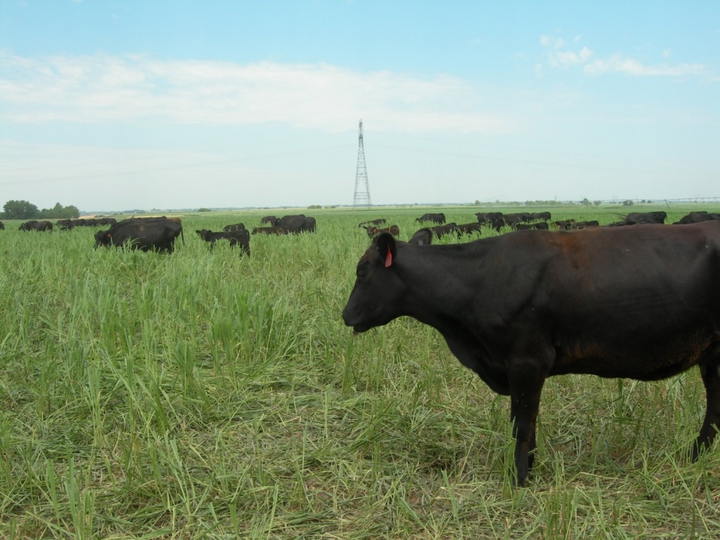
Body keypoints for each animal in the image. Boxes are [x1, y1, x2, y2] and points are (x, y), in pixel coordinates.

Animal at [342, 221, 720, 488]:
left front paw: (519, 479)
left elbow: (522, 423)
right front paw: (531, 468)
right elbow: (524, 422)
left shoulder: (527, 361)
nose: (345, 315)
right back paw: (696, 454)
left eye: (361, 271)